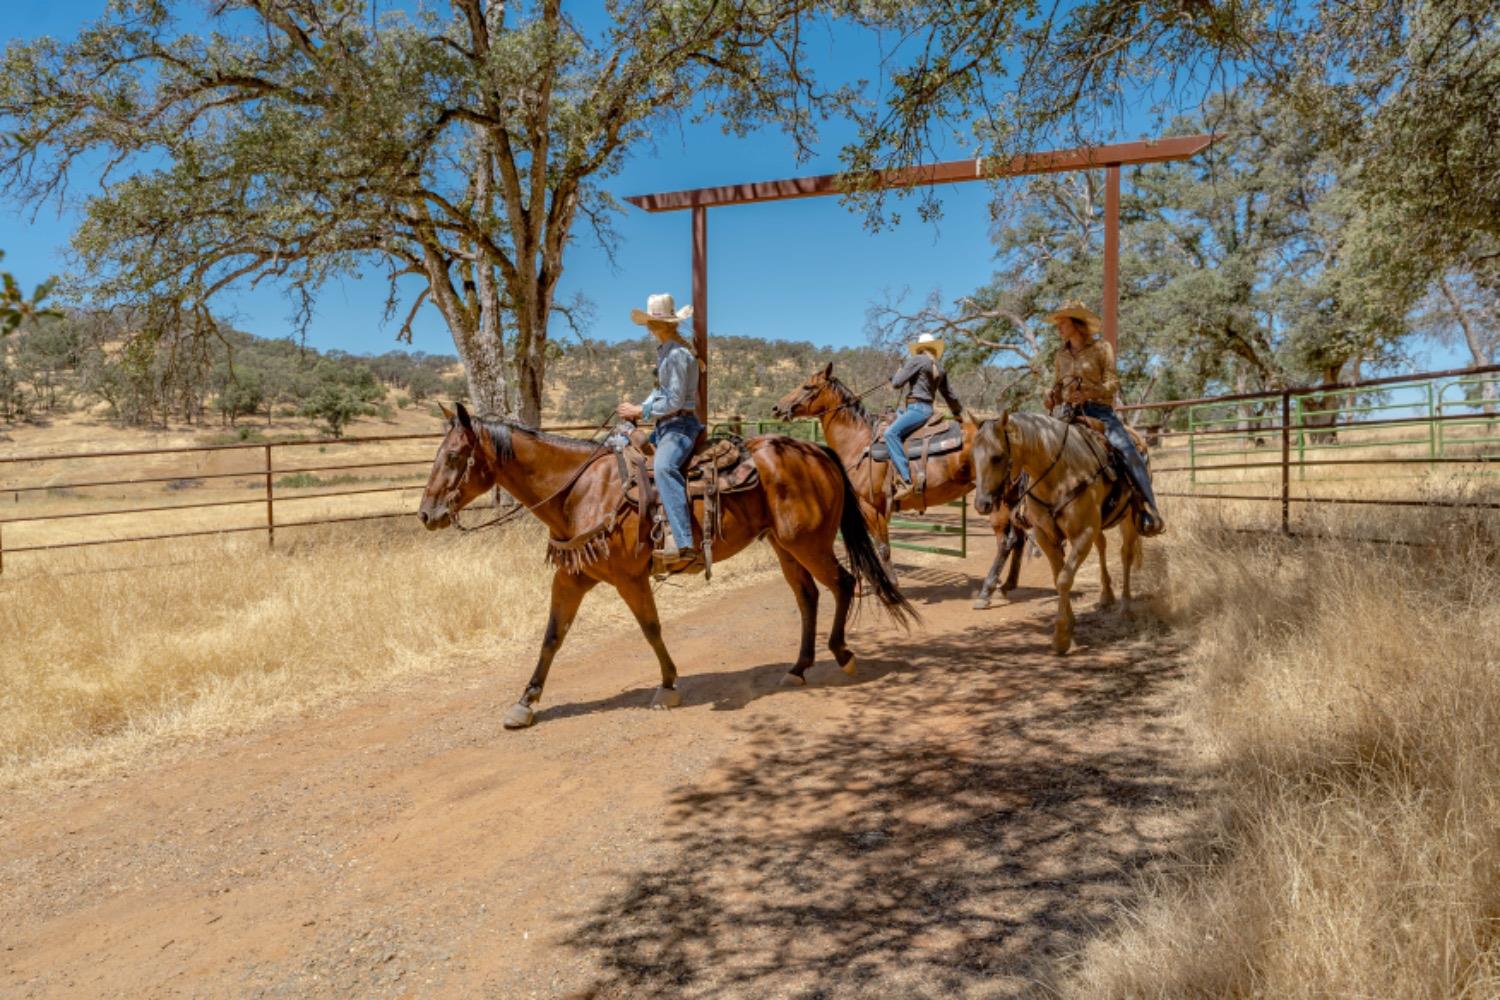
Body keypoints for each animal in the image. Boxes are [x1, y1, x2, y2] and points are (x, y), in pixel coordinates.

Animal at [417, 401, 918, 731]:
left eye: (455, 456)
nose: (426, 514)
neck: (581, 490)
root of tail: (815, 452)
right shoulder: (572, 576)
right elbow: (552, 637)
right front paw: (526, 702)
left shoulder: (629, 578)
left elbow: (651, 628)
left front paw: (669, 686)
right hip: (784, 545)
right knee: (809, 596)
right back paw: (798, 667)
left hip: (808, 542)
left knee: (843, 583)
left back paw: (843, 655)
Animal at [780, 364, 1026, 605]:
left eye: (807, 386)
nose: (778, 408)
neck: (859, 443)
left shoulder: (870, 507)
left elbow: (883, 548)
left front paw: (890, 589)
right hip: (1011, 497)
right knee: (1019, 539)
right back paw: (1006, 586)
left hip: (995, 499)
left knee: (1005, 542)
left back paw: (986, 592)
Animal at [966, 407, 1140, 656]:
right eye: (973, 456)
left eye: (997, 456)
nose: (982, 504)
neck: (1059, 475)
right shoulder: (1045, 535)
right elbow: (1058, 576)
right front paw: (1068, 626)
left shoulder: (1083, 534)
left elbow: (1064, 580)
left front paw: (1061, 637)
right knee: (1103, 545)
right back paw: (1107, 596)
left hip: (1129, 519)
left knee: (1126, 554)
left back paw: (1126, 607)